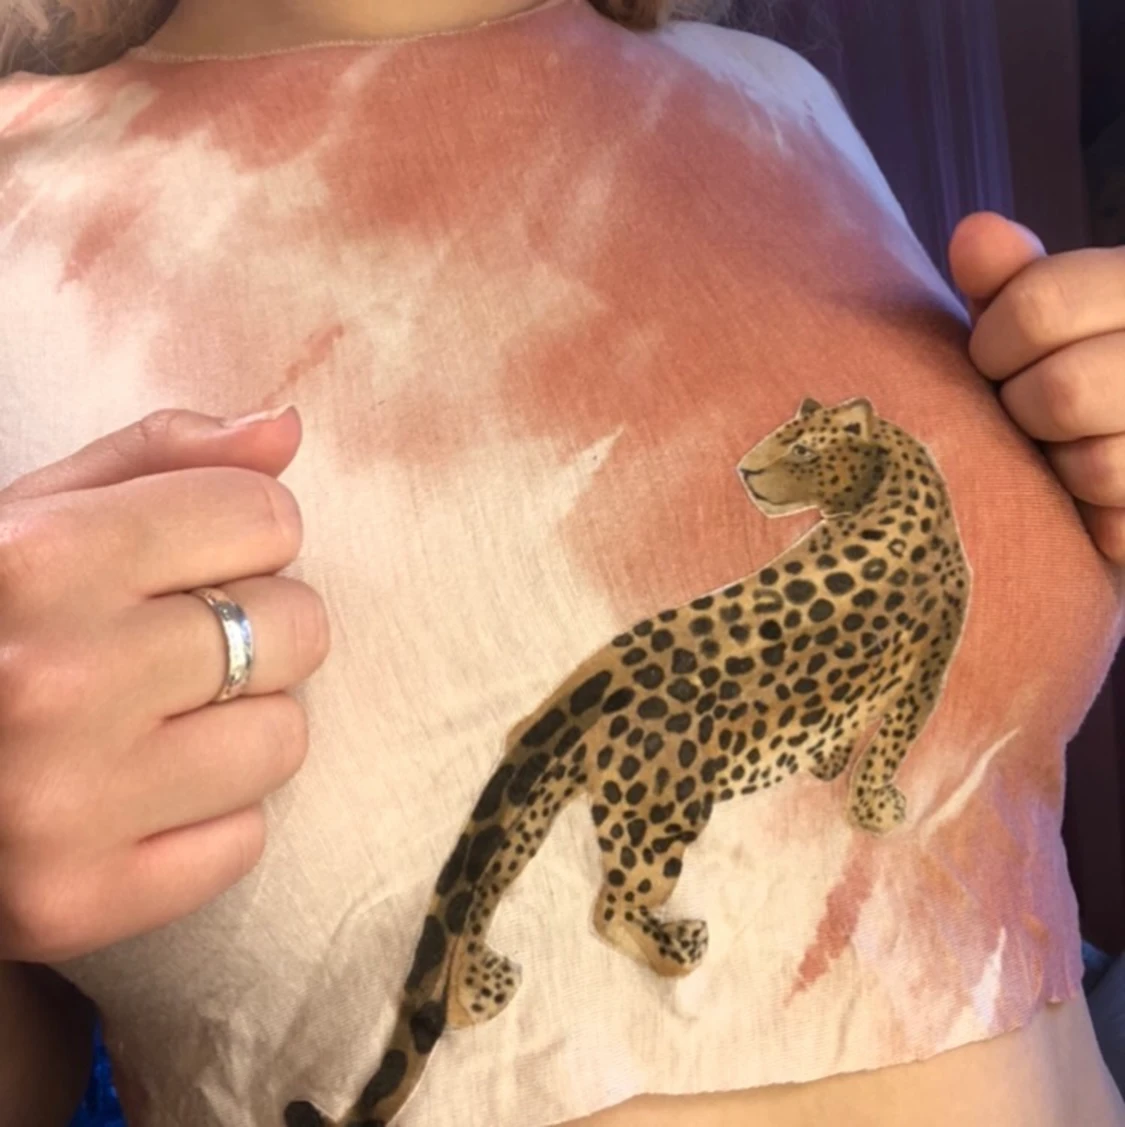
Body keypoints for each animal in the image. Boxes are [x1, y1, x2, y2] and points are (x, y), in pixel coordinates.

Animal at [285, 396, 972, 1127]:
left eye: (804, 450)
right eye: (787, 441)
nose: (746, 470)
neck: (897, 483)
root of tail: (596, 680)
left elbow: (856, 727)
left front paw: (832, 760)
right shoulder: (929, 666)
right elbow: (891, 743)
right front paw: (876, 809)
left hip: (543, 793)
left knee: (482, 888)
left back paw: (479, 991)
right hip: (659, 823)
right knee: (609, 908)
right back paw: (681, 949)